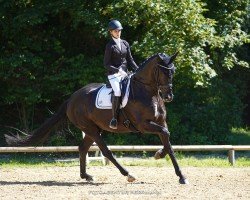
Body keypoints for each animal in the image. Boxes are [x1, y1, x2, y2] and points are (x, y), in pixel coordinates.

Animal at [4, 52, 188, 184]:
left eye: (173, 71)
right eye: (163, 71)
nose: (169, 96)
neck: (148, 92)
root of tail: (72, 98)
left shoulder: (160, 122)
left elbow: (168, 141)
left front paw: (177, 172)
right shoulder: (143, 125)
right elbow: (165, 135)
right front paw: (162, 157)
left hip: (93, 129)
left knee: (82, 148)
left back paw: (86, 176)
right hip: (90, 129)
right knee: (105, 151)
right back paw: (128, 174)